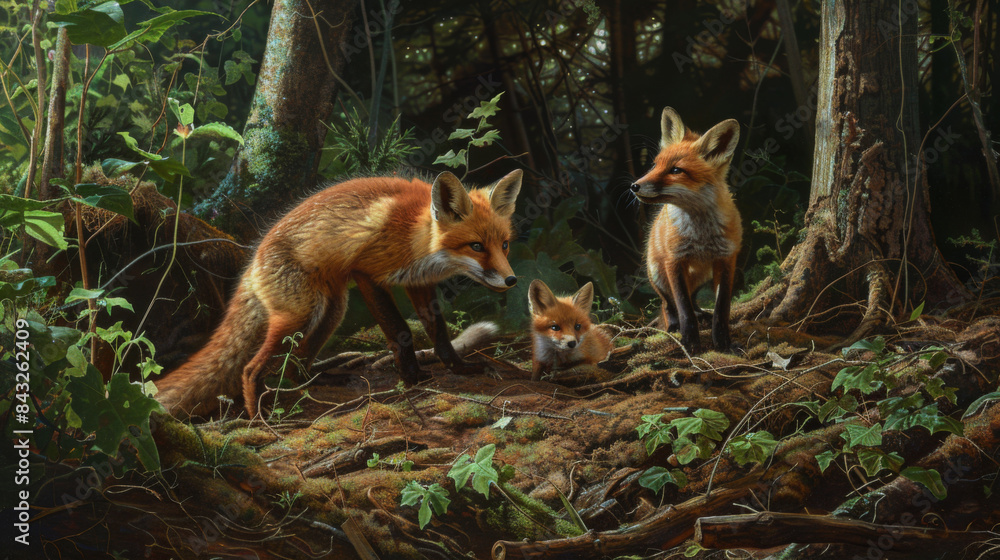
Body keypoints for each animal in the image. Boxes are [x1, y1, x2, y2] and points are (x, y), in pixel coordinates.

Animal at [156, 170, 522, 419]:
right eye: (476, 246)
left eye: (504, 245)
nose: (511, 280)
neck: (416, 235)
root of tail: (253, 261)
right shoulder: (367, 273)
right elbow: (399, 329)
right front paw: (412, 376)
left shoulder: (418, 282)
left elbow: (438, 330)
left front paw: (458, 367)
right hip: (300, 315)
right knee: (251, 368)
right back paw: (259, 416)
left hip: (331, 311)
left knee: (296, 364)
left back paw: (325, 378)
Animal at [629, 107, 742, 353]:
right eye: (655, 165)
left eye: (676, 170)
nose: (634, 186)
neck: (701, 236)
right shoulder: (674, 260)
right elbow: (684, 309)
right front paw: (690, 342)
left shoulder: (726, 259)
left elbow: (721, 309)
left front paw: (723, 343)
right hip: (656, 273)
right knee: (668, 305)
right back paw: (673, 327)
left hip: (702, 275)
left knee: (695, 300)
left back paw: (702, 315)